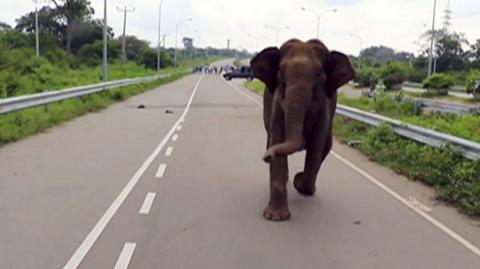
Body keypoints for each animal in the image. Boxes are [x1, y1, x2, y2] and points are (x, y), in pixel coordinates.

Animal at [251, 38, 356, 221]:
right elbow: (277, 138)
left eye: (319, 78)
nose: (266, 156)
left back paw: (305, 188)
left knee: (325, 146)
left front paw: (299, 182)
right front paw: (275, 217)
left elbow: (316, 147)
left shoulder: (325, 106)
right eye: (281, 78)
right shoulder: (276, 102)